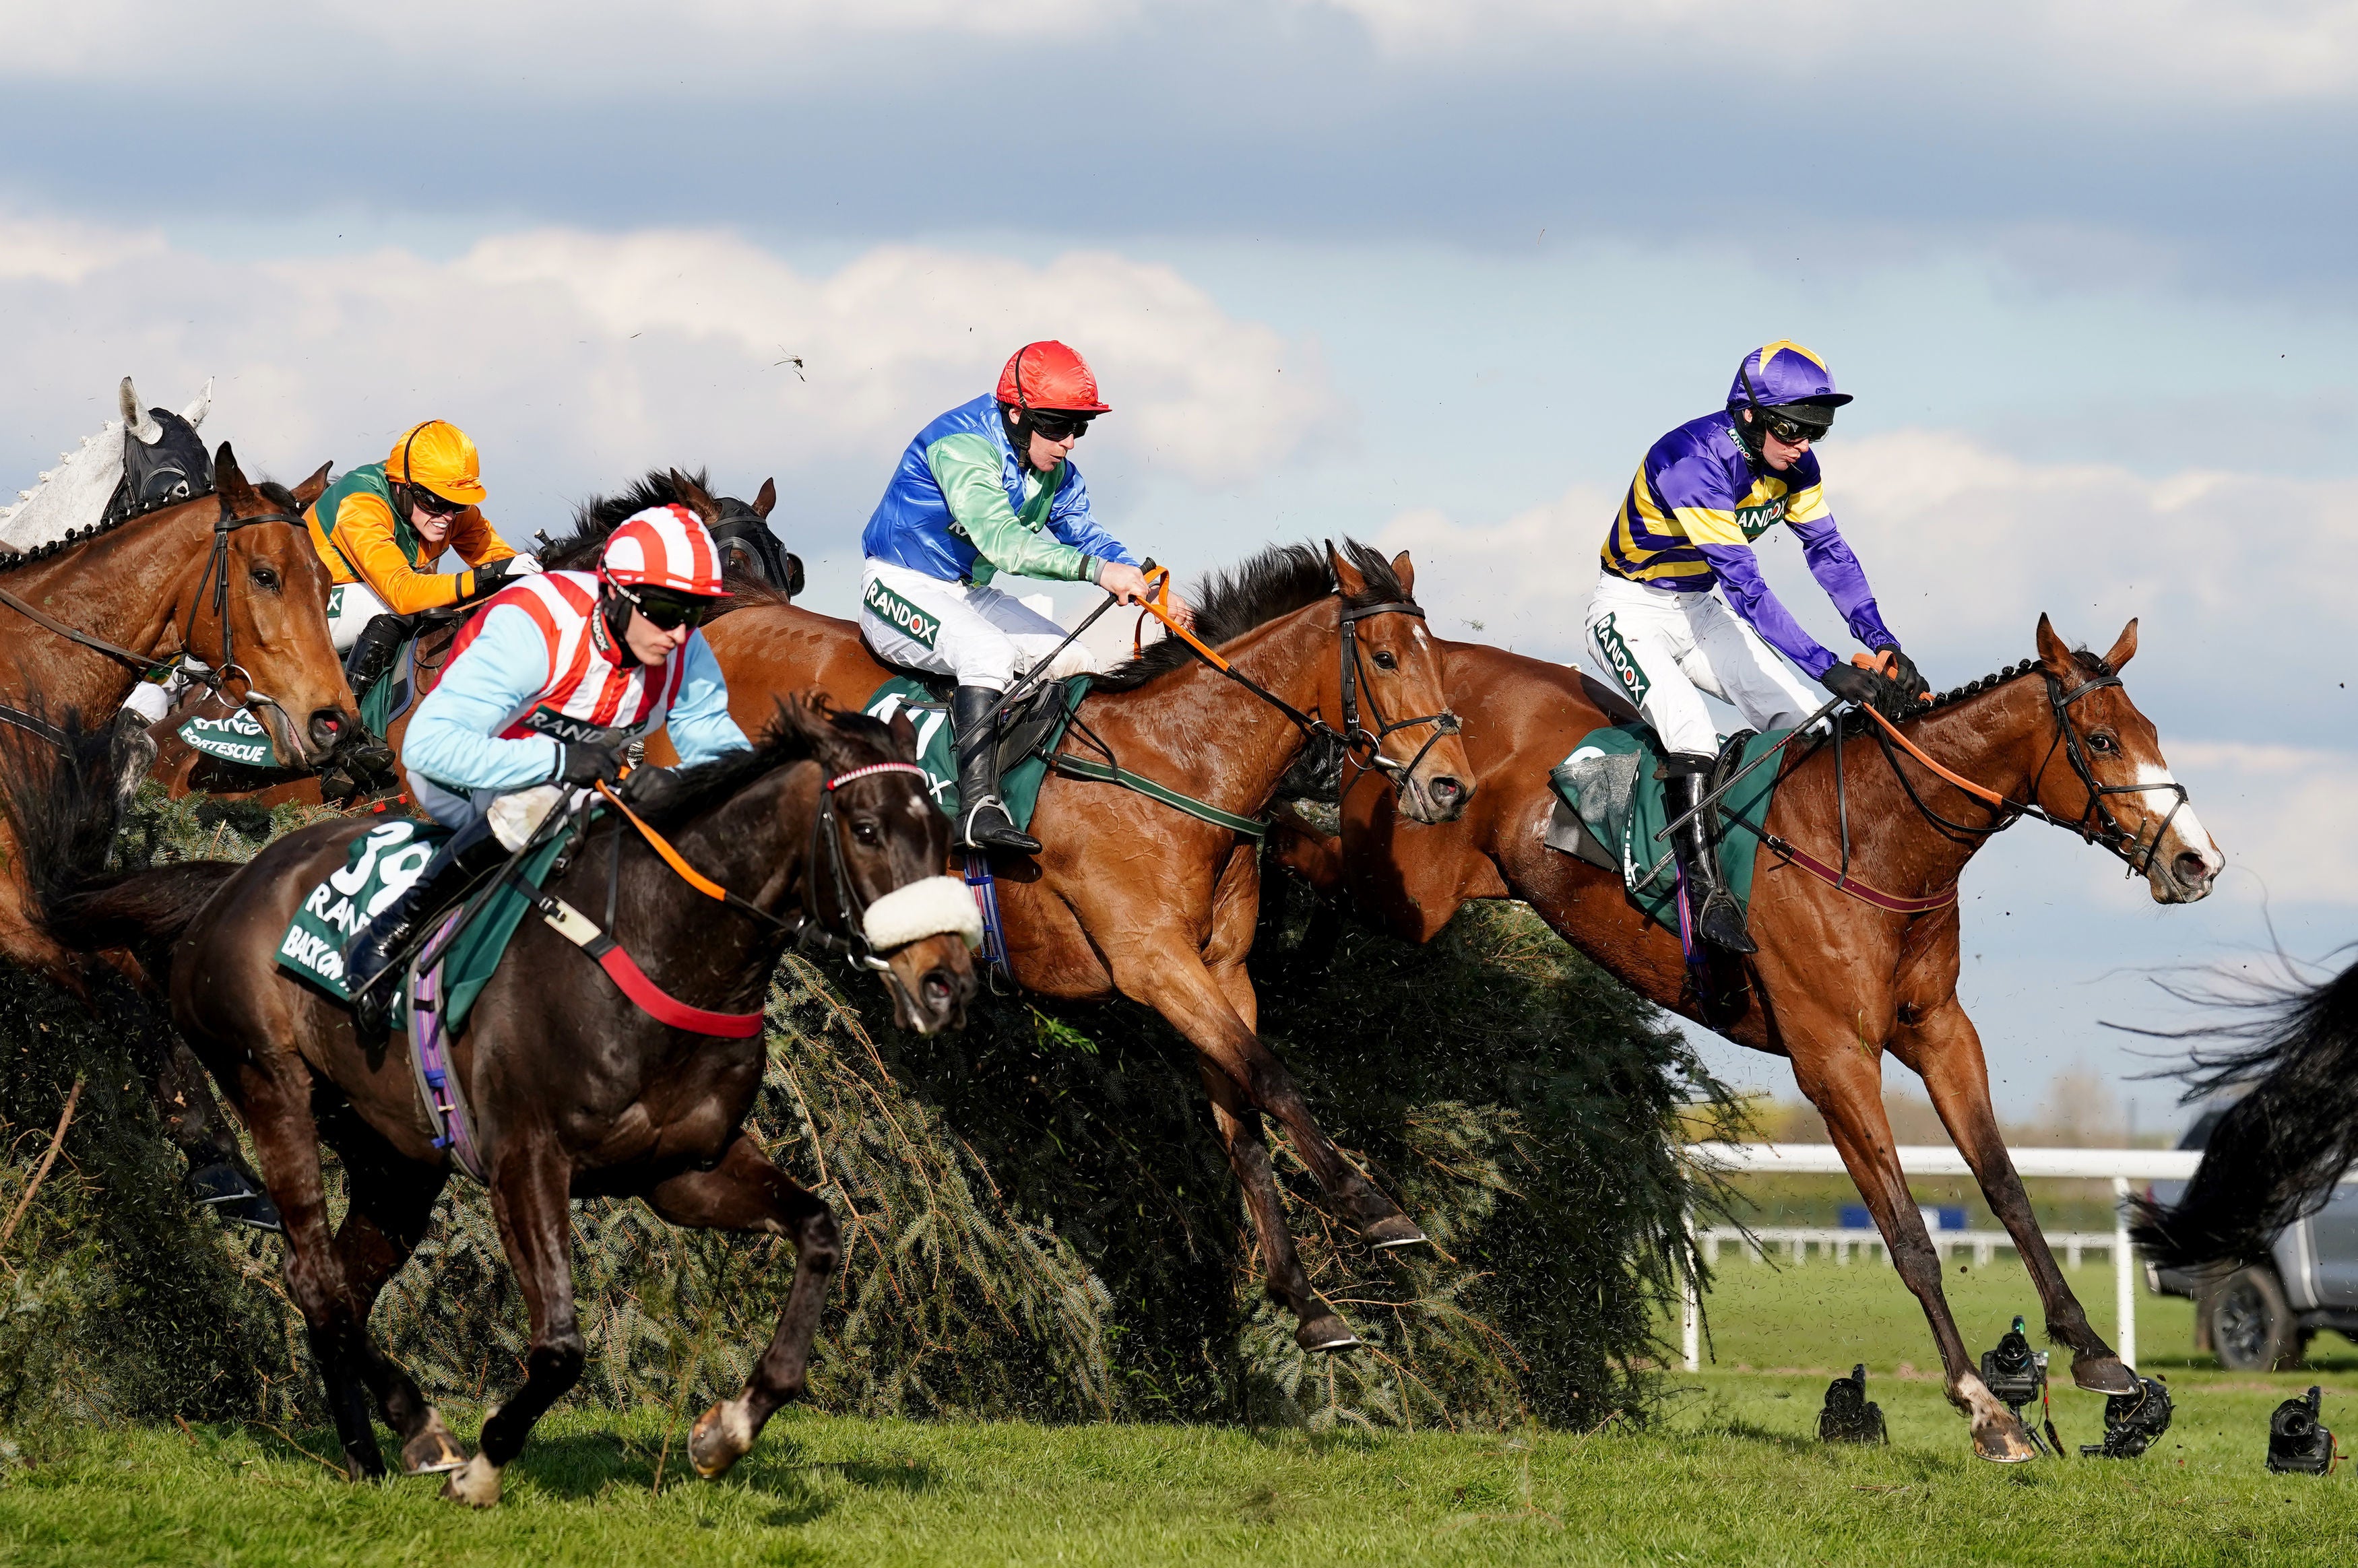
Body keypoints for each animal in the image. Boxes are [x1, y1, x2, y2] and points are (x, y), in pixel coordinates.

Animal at [2, 693, 976, 1499]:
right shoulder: (525, 1160)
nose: (944, 981)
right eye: (864, 827)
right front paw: (485, 1464)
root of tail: (227, 885)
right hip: (267, 1081)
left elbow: (818, 1230)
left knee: (341, 1285)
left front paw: (726, 1430)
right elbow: (560, 1349)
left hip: (392, 1155)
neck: (660, 945)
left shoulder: (685, 1171)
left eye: (944, 836)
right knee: (312, 1274)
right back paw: (408, 1434)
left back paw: (378, 1443)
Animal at [670, 537, 1471, 1348]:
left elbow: (1241, 1117)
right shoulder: (1153, 963)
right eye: (1383, 658)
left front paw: (1305, 1302)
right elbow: (1271, 1077)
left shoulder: (1221, 973)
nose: (1450, 788)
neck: (1182, 765)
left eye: (1438, 659)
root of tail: (737, 614)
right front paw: (1373, 1208)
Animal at [1283, 613, 2217, 1452]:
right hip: (1403, 885)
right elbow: (1907, 1234)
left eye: (2151, 731)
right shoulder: (1833, 1058)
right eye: (2100, 740)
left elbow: (2007, 1189)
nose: (2196, 862)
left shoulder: (1940, 1033)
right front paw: (1983, 1407)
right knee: (1297, 854)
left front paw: (2100, 1361)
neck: (1874, 838)